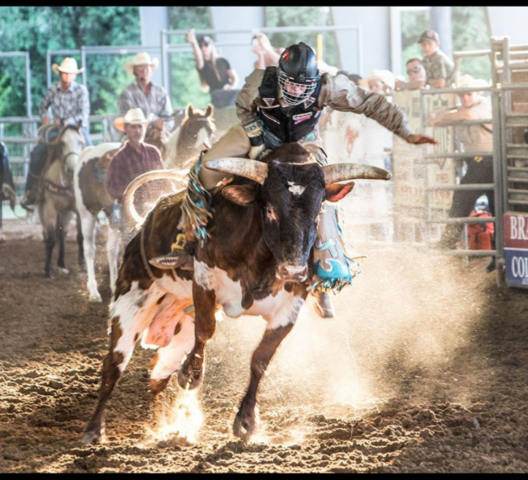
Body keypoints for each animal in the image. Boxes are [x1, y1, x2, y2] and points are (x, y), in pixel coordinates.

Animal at [37, 124, 86, 278]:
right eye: (62, 143)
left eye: (80, 142)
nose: (72, 168)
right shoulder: (51, 208)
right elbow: (51, 239)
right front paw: (48, 270)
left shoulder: (78, 209)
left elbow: (80, 236)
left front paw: (82, 264)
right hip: (43, 210)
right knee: (47, 234)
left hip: (66, 212)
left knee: (62, 234)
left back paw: (62, 264)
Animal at [74, 104, 216, 302]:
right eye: (191, 130)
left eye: (210, 130)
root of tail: (87, 152)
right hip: (88, 213)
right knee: (89, 249)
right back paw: (94, 292)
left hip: (112, 217)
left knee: (111, 249)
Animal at [82, 143, 390, 443]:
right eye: (270, 210)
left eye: (317, 215)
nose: (293, 269)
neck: (260, 264)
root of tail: (144, 224)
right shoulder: (204, 279)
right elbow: (206, 330)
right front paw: (191, 374)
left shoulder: (289, 308)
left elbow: (261, 359)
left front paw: (246, 420)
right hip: (130, 304)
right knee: (114, 363)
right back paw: (95, 429)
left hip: (178, 322)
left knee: (159, 369)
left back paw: (161, 423)